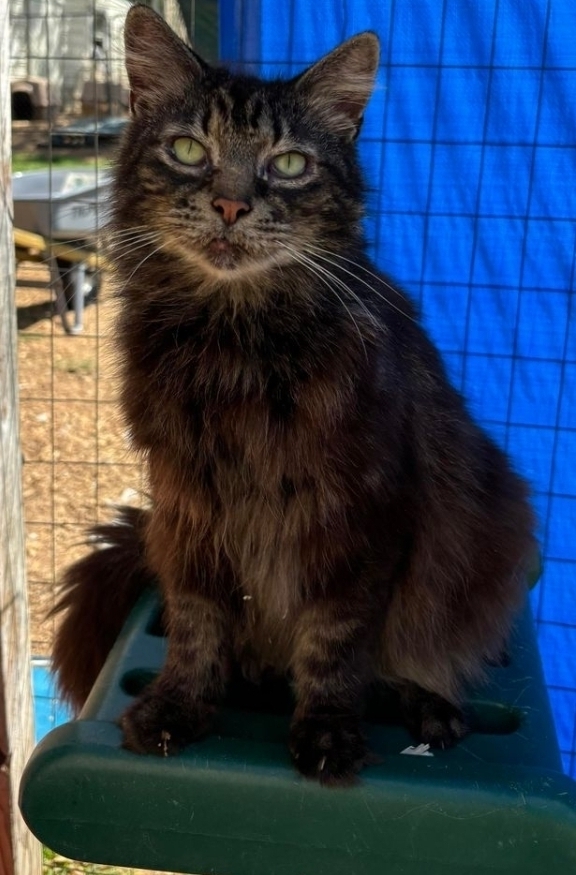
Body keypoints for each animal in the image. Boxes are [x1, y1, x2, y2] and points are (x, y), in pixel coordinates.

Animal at [51, 3, 536, 788]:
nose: (229, 204)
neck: (233, 346)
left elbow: (334, 643)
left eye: (288, 165)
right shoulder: (190, 508)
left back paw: (430, 705)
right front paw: (178, 704)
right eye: (188, 149)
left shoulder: (363, 514)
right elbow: (196, 624)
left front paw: (328, 731)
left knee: (414, 654)